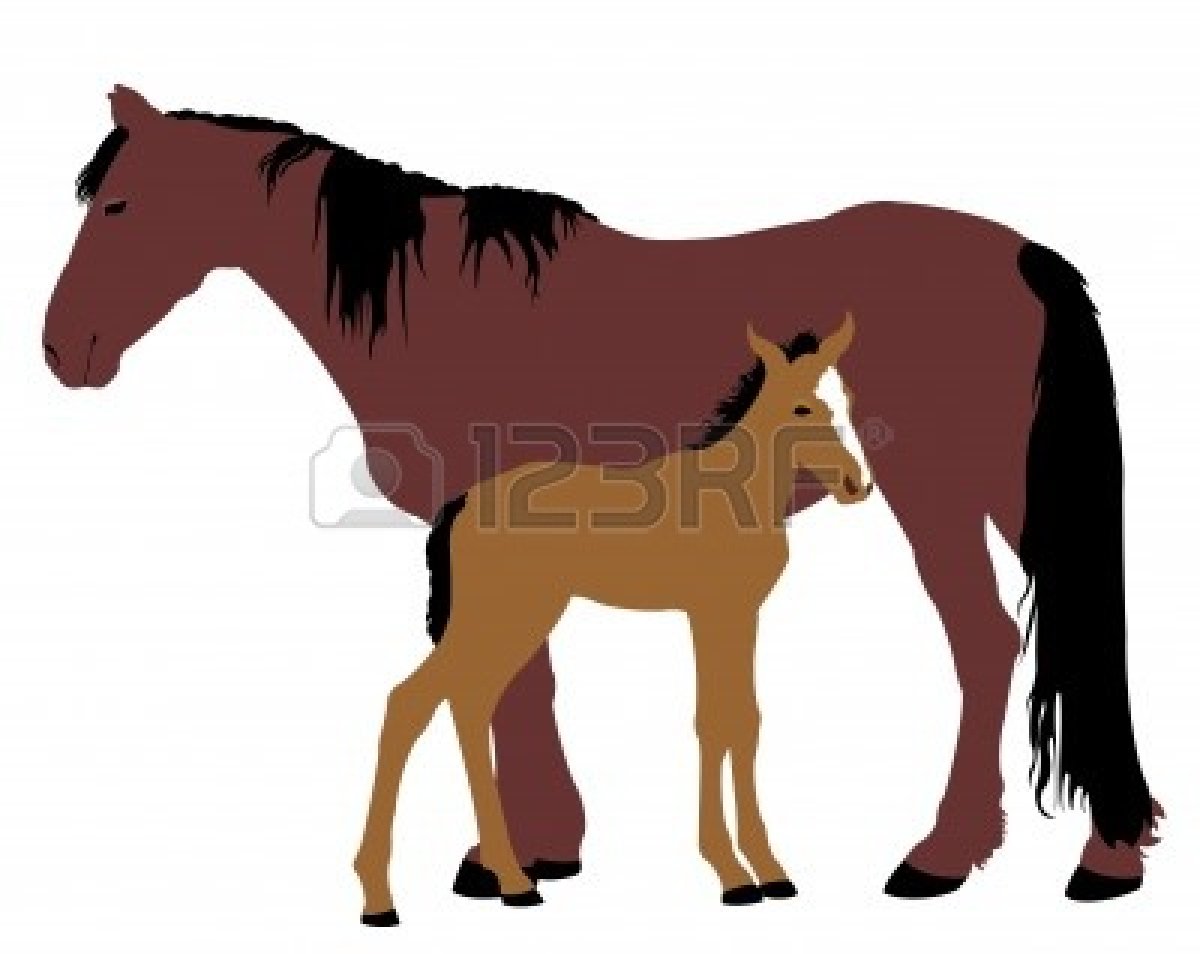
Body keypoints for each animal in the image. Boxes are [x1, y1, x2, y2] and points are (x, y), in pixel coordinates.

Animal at [351, 314, 871, 924]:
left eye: (846, 399)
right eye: (801, 408)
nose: (856, 485)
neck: (733, 493)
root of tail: (463, 504)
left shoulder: (742, 614)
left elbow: (745, 721)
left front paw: (770, 871)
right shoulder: (711, 612)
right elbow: (714, 721)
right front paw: (732, 875)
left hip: (516, 620)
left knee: (463, 703)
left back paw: (508, 881)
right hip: (503, 616)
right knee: (413, 702)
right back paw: (385, 898)